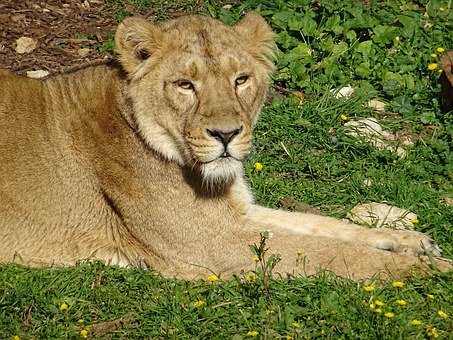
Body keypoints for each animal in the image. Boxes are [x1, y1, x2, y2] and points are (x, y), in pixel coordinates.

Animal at [0, 13, 450, 278]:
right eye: (185, 84)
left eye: (241, 80)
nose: (226, 135)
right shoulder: (211, 246)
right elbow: (327, 251)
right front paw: (426, 270)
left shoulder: (236, 213)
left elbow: (326, 227)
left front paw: (416, 244)